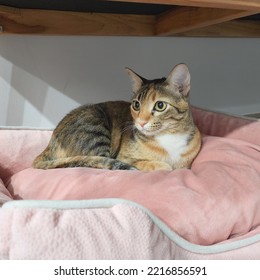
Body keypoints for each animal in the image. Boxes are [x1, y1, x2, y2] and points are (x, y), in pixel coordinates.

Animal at [33, 63, 201, 172]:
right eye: (136, 105)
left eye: (160, 105)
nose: (140, 122)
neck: (169, 137)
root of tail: (49, 144)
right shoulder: (124, 157)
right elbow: (152, 164)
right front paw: (163, 166)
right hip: (95, 126)